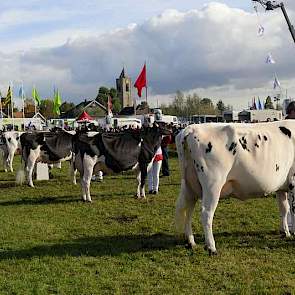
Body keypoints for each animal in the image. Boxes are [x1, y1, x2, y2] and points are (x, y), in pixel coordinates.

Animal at [176, 121, 295, 256]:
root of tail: (191, 128)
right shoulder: (293, 181)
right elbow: (293, 209)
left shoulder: (281, 187)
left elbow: (284, 209)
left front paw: (285, 232)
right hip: (213, 184)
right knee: (206, 213)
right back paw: (211, 247)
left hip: (190, 185)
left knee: (188, 210)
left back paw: (191, 242)